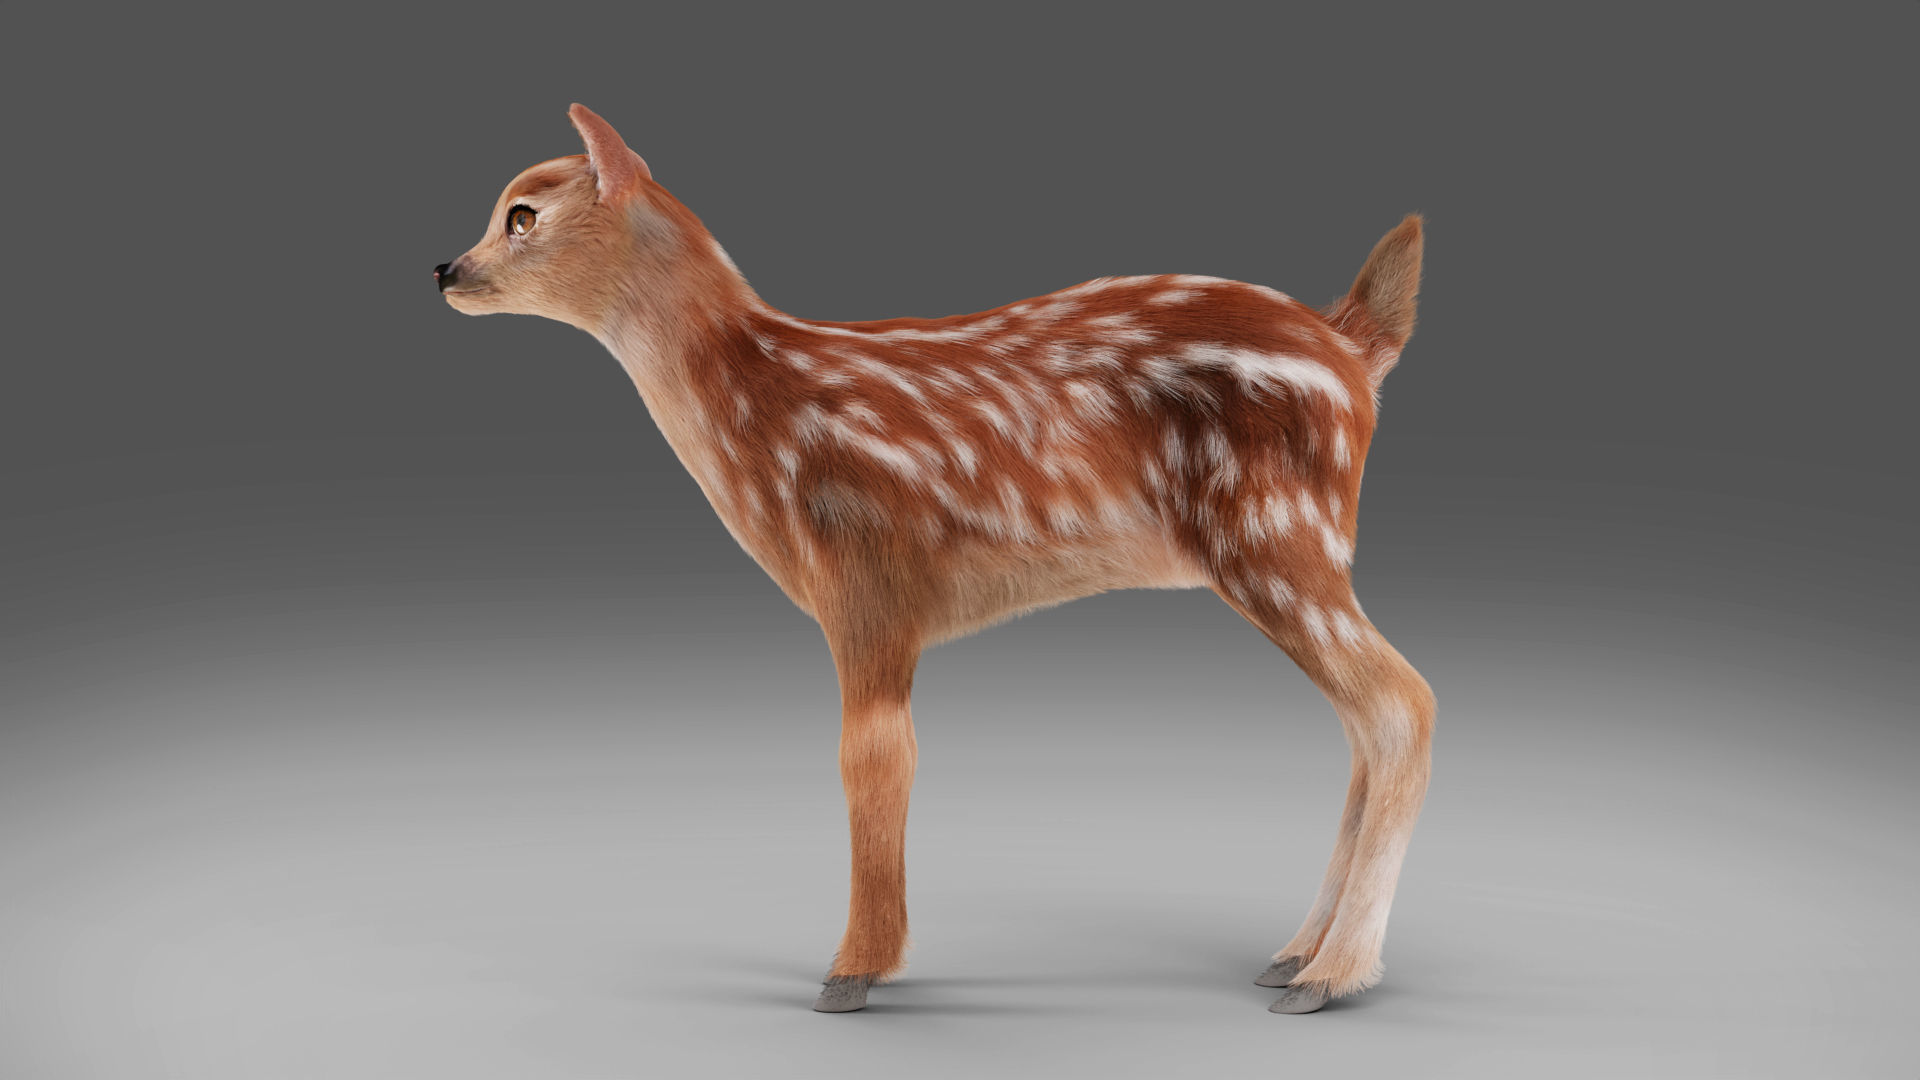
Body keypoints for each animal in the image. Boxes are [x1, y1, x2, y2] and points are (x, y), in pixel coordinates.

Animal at [433, 104, 1435, 1015]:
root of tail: (1351, 350)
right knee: (1363, 720)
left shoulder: (864, 576)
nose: (445, 269)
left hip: (1274, 534)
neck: (763, 408)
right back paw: (1293, 955)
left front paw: (851, 972)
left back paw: (1329, 978)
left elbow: (873, 757)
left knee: (1402, 704)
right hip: (1298, 546)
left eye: (521, 214)